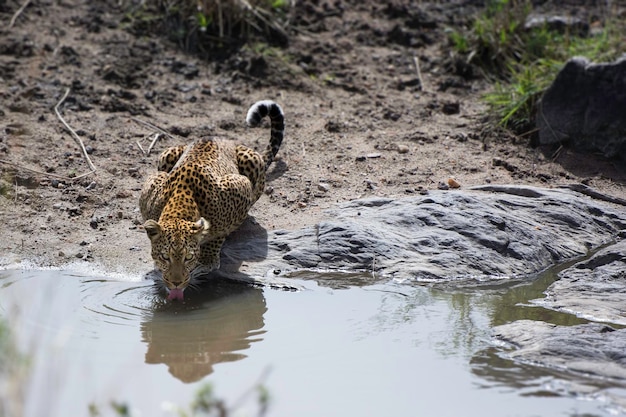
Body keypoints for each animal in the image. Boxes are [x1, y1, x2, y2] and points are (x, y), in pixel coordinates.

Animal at [140, 100, 284, 300]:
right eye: (165, 257)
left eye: (188, 258)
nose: (176, 283)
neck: (181, 200)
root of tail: (224, 138)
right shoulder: (151, 189)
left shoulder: (239, 187)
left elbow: (219, 232)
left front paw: (207, 259)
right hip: (167, 153)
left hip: (252, 160)